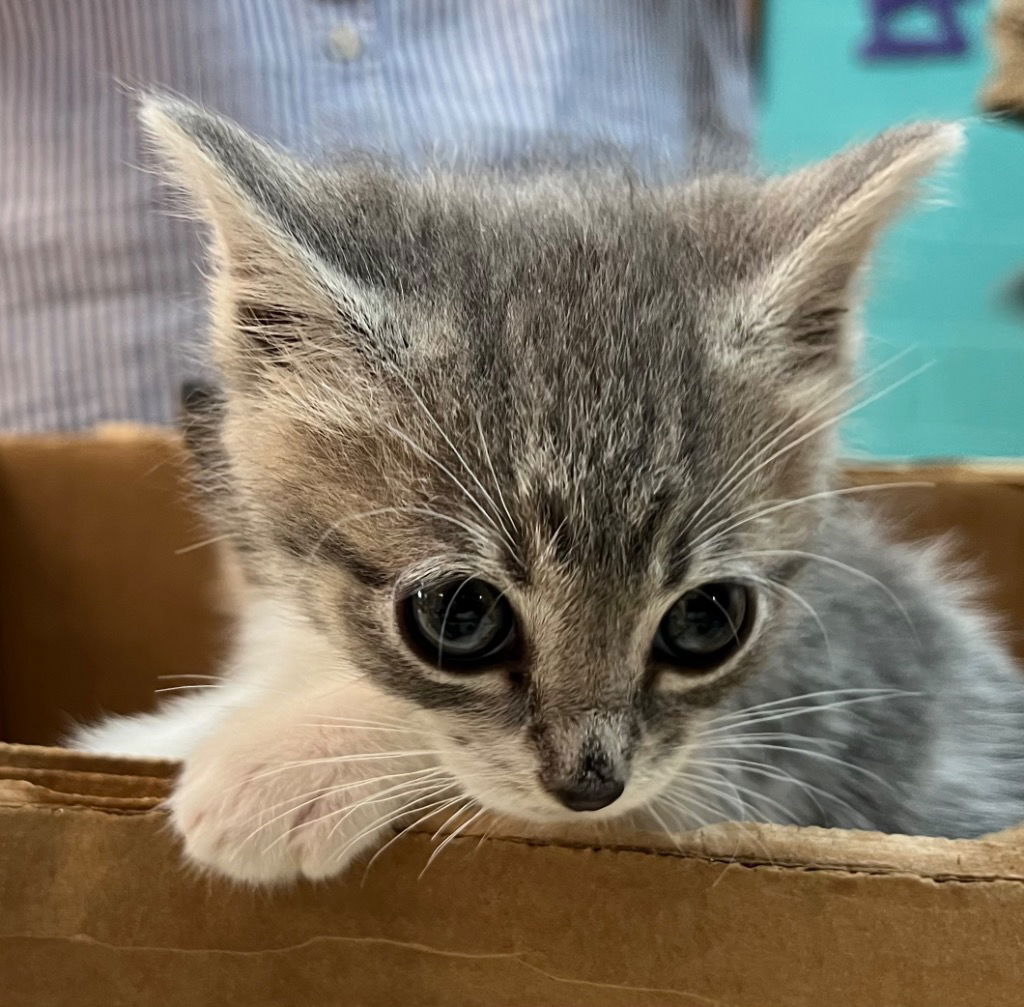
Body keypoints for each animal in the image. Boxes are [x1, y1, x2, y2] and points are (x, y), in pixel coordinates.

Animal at [72, 94, 1024, 880]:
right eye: (461, 616)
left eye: (707, 619)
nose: (591, 783)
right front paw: (172, 733)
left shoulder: (815, 719)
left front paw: (280, 763)